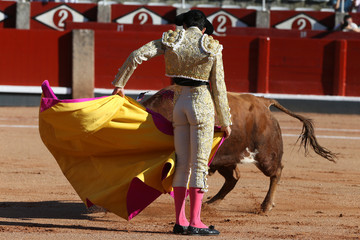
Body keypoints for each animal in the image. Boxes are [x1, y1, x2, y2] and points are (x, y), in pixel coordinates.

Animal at [142, 85, 336, 213]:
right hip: (225, 159)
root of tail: (263, 102)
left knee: (276, 171)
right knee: (234, 177)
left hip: (265, 155)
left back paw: (265, 206)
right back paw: (211, 203)